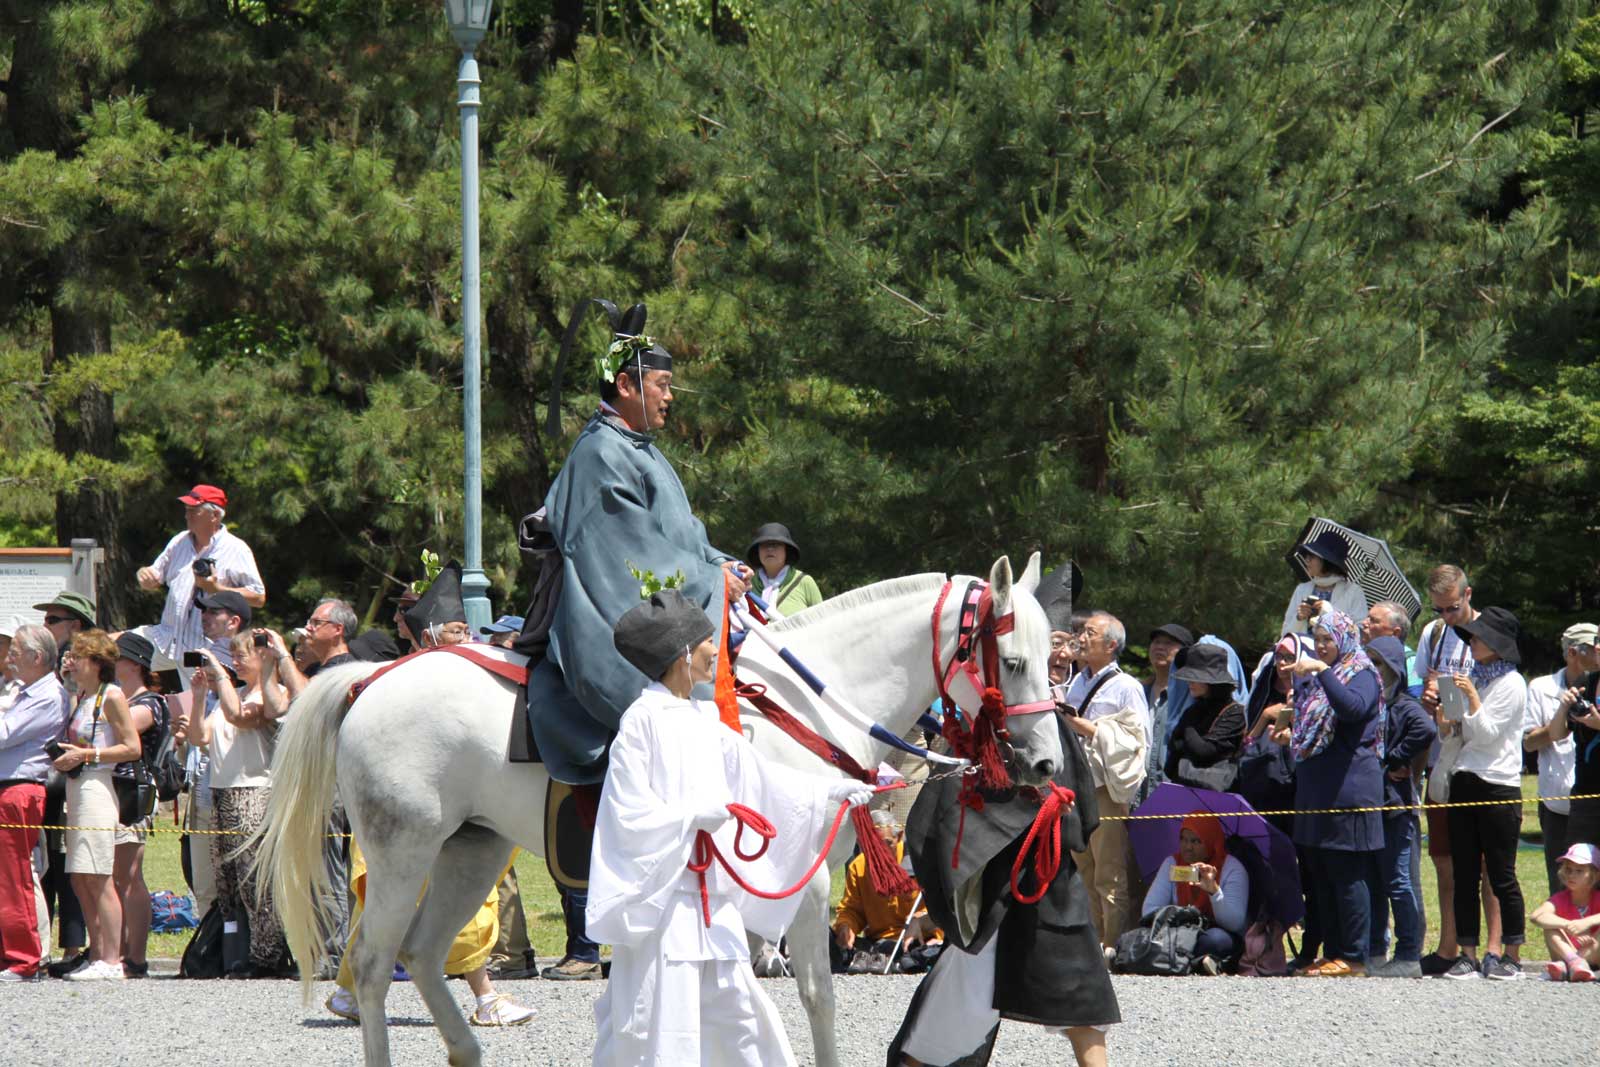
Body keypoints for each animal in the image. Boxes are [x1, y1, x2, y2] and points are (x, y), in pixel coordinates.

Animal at [259, 550, 1062, 1067]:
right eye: (1012, 660)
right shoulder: (794, 883)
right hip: (403, 848)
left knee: (424, 953)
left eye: (1049, 658)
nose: (1049, 763)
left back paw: (466, 1049)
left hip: (472, 848)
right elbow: (811, 995)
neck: (806, 714)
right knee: (372, 964)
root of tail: (373, 677)